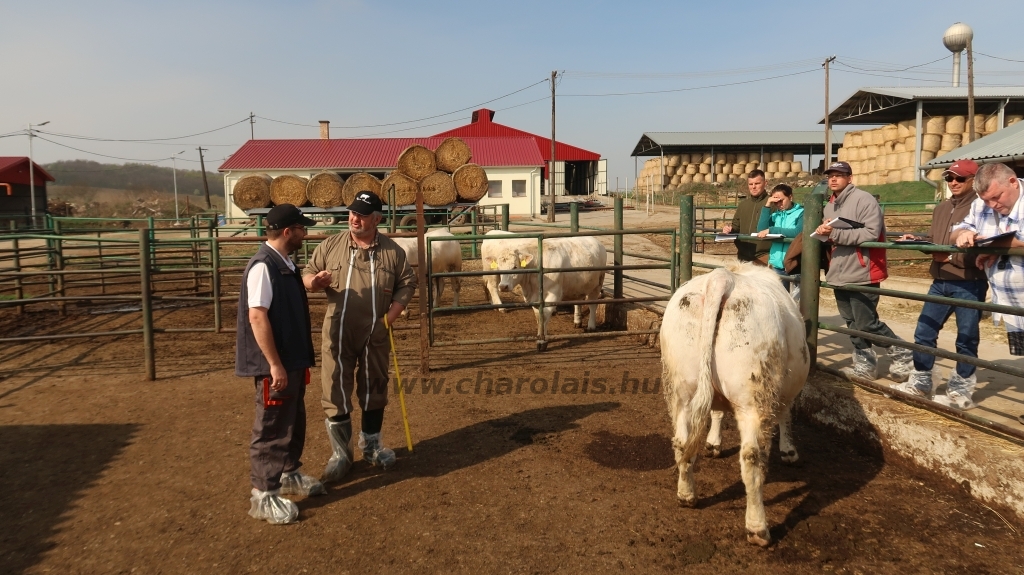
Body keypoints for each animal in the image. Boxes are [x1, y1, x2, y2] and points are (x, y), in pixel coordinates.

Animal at [659, 261, 811, 544]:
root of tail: (723, 277)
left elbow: (717, 413)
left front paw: (714, 443)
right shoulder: (784, 392)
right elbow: (786, 415)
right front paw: (789, 451)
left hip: (680, 388)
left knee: (682, 442)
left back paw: (686, 495)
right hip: (754, 393)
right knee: (751, 456)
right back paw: (758, 528)